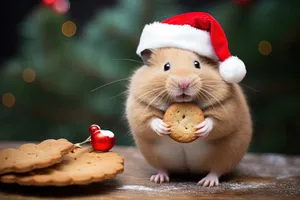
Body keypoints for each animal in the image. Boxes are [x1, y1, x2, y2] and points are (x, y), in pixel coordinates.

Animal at [125, 47, 253, 187]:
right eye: (166, 66)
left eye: (197, 64)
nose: (183, 84)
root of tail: (189, 172)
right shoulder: (138, 106)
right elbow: (149, 120)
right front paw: (163, 127)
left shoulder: (228, 106)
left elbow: (217, 120)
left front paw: (202, 127)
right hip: (155, 157)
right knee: (162, 168)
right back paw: (159, 178)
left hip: (227, 155)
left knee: (217, 170)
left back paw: (207, 182)